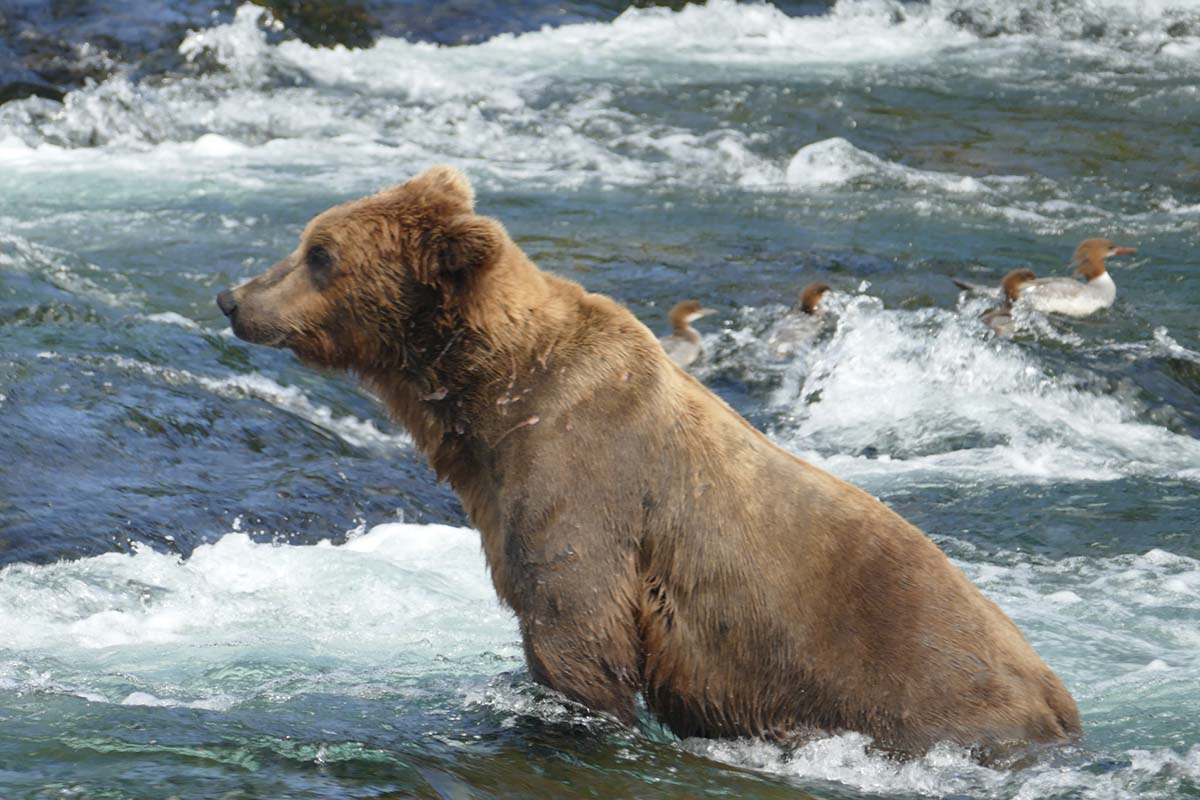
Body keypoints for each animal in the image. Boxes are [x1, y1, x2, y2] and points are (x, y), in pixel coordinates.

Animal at [216, 165, 1080, 756]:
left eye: (320, 254)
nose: (233, 299)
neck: (493, 402)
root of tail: (1063, 706)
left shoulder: (586, 479)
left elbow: (577, 633)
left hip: (914, 688)